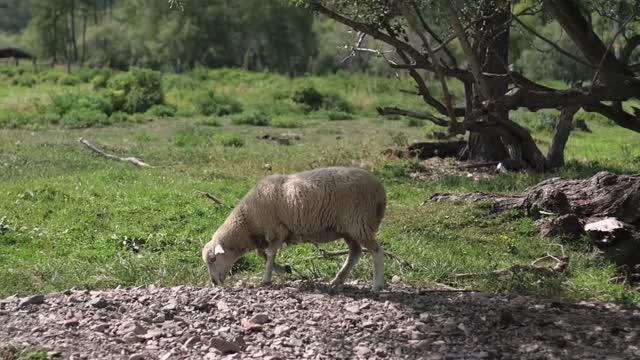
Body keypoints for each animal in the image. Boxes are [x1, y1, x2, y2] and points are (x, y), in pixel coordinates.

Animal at [202, 167, 388, 292]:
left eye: (213, 259)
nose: (214, 282)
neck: (247, 223)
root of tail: (380, 190)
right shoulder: (269, 234)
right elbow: (262, 254)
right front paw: (284, 269)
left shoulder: (277, 230)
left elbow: (269, 254)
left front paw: (266, 279)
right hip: (348, 229)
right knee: (355, 252)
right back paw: (337, 280)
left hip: (359, 222)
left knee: (377, 251)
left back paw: (377, 285)